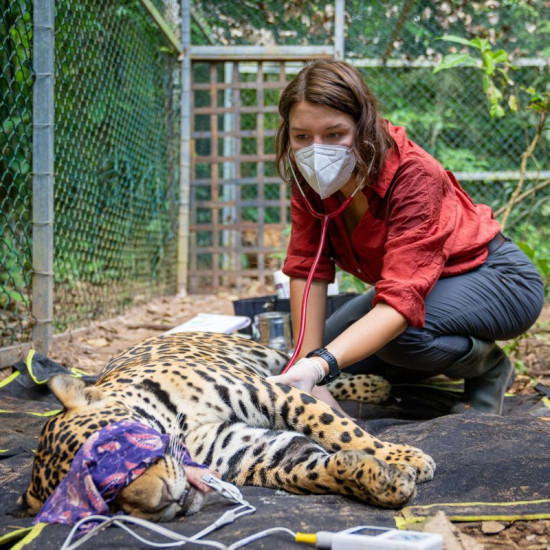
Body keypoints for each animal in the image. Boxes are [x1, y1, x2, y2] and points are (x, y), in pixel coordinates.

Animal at [14, 332, 435, 522]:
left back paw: (374, 385)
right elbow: (315, 471)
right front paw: (380, 481)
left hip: (266, 357)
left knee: (314, 369)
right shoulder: (260, 452)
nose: (162, 501)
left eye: (117, 448)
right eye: (106, 502)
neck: (179, 427)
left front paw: (405, 457)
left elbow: (338, 428)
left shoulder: (271, 393)